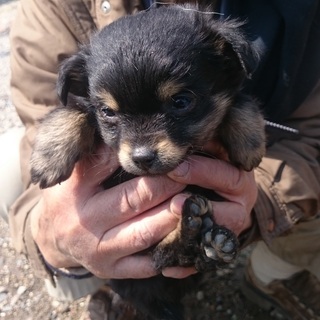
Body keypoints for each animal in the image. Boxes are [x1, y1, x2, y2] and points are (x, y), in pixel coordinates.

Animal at [30, 5, 264, 320]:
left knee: (172, 259)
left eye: (181, 102)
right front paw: (48, 156)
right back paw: (198, 236)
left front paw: (250, 141)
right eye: (108, 112)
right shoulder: (87, 108)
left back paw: (210, 242)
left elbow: (238, 99)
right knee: (162, 259)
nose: (142, 157)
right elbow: (73, 108)